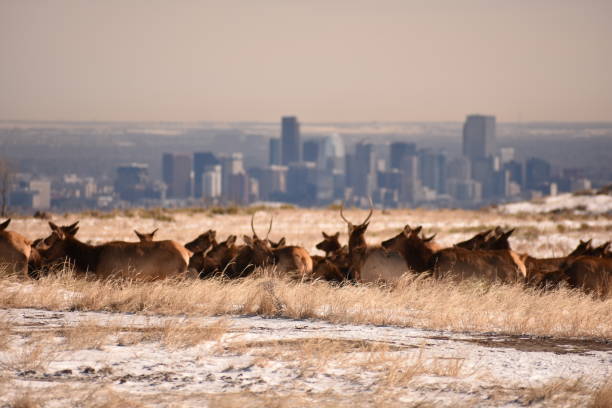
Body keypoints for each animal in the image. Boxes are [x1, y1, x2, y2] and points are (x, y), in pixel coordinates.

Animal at [37, 220, 190, 280]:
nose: (43, 254)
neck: (94, 260)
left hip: (172, 275)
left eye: (51, 240)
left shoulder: (112, 277)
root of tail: (187, 253)